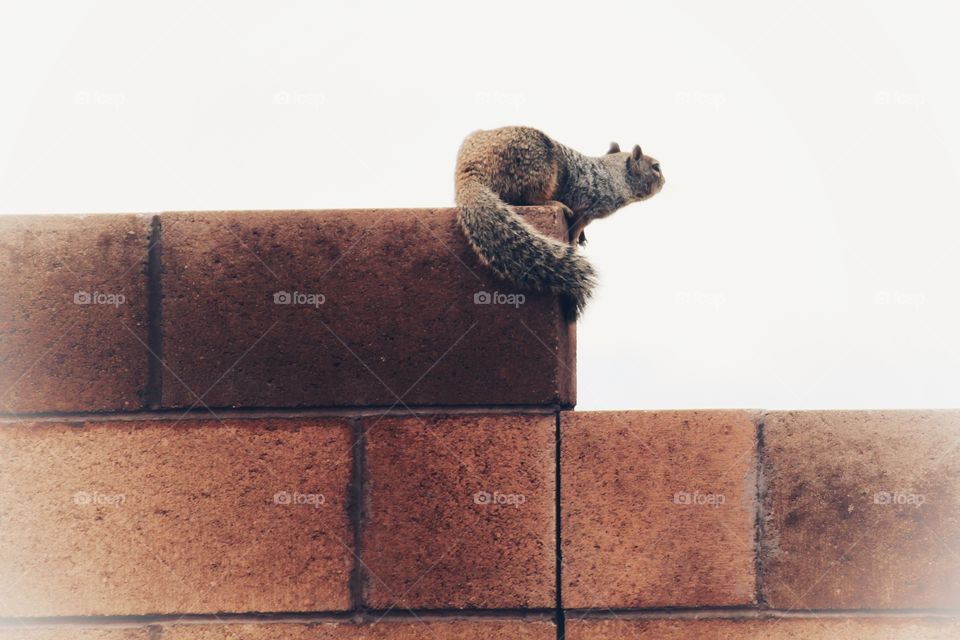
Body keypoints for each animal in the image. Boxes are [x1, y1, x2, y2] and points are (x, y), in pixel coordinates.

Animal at [454, 125, 664, 318]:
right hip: (535, 168)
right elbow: (576, 226)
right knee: (526, 197)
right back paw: (554, 203)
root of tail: (470, 168)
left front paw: (582, 238)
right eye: (655, 167)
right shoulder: (587, 207)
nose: (665, 181)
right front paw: (574, 241)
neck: (613, 176)